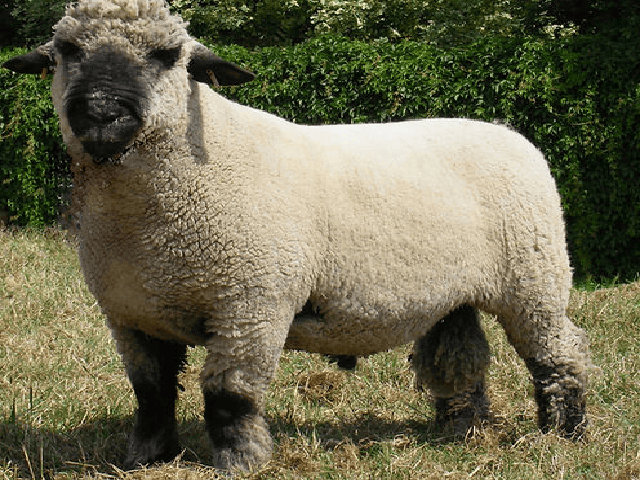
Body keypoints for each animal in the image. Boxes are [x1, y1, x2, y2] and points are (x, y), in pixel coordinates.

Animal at [3, 0, 591, 472]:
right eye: (66, 50)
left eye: (168, 55)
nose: (102, 112)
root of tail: (507, 133)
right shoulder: (132, 314)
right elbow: (151, 394)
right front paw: (146, 458)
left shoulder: (252, 304)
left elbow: (229, 394)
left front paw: (240, 461)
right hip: (455, 293)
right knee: (459, 359)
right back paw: (462, 431)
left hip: (533, 278)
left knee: (557, 352)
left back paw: (564, 433)